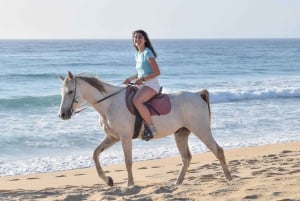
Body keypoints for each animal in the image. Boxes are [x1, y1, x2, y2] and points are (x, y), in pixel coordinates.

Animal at [58, 71, 232, 186]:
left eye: (70, 92)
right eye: (62, 92)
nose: (62, 114)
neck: (110, 104)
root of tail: (197, 95)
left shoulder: (125, 138)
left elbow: (128, 162)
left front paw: (130, 185)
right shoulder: (113, 138)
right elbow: (95, 154)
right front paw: (108, 180)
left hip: (201, 130)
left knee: (218, 150)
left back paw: (229, 178)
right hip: (181, 134)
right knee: (186, 158)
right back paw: (177, 183)